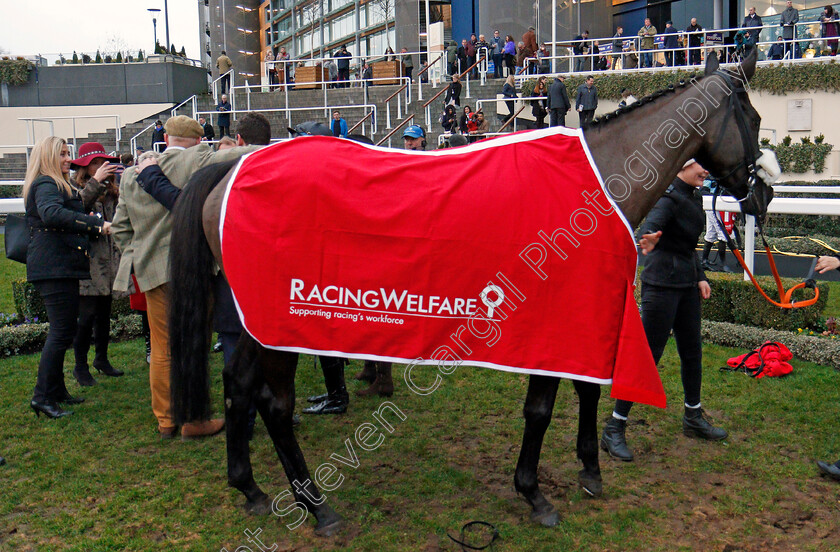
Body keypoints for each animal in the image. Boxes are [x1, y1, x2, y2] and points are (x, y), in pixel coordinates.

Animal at [169, 51, 776, 536]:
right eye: (752, 117)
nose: (763, 195)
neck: (596, 186)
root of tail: (231, 167)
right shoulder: (548, 323)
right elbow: (540, 410)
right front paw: (534, 493)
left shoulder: (585, 313)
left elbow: (586, 391)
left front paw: (590, 470)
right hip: (281, 321)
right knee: (273, 403)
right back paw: (317, 507)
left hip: (257, 319)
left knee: (238, 387)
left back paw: (250, 489)